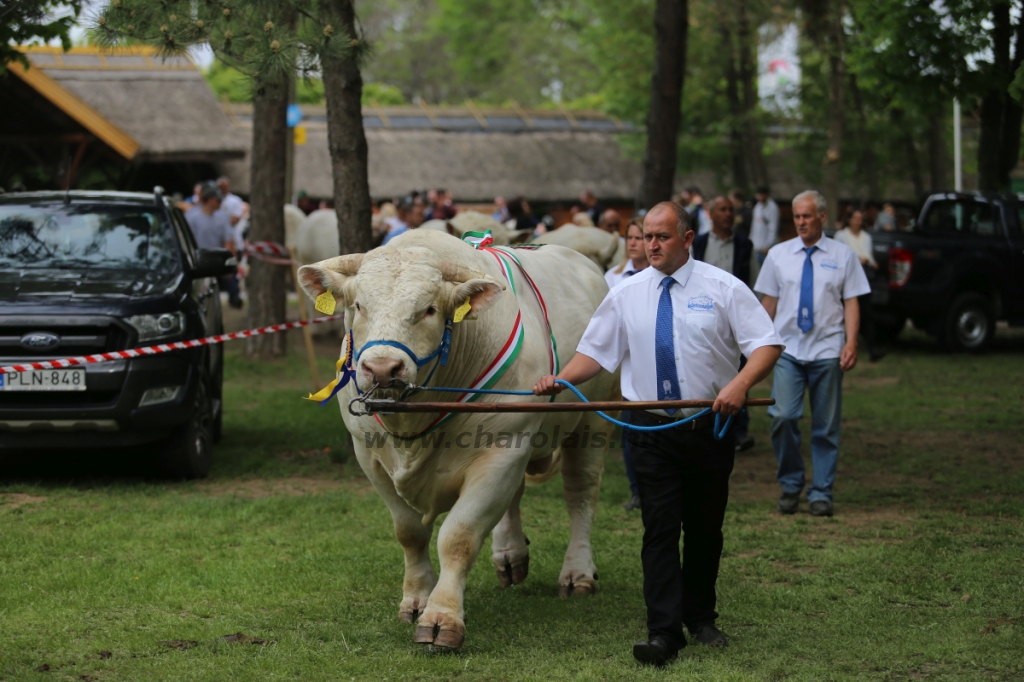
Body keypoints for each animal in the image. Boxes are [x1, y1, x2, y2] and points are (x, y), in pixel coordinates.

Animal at [296, 229, 614, 647]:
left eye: (430, 309)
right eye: (359, 305)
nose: (382, 369)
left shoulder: (501, 450)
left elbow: (458, 536)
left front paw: (441, 617)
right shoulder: (369, 455)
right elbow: (410, 532)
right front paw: (416, 599)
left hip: (591, 424)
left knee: (581, 494)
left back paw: (577, 573)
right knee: (516, 497)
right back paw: (510, 555)